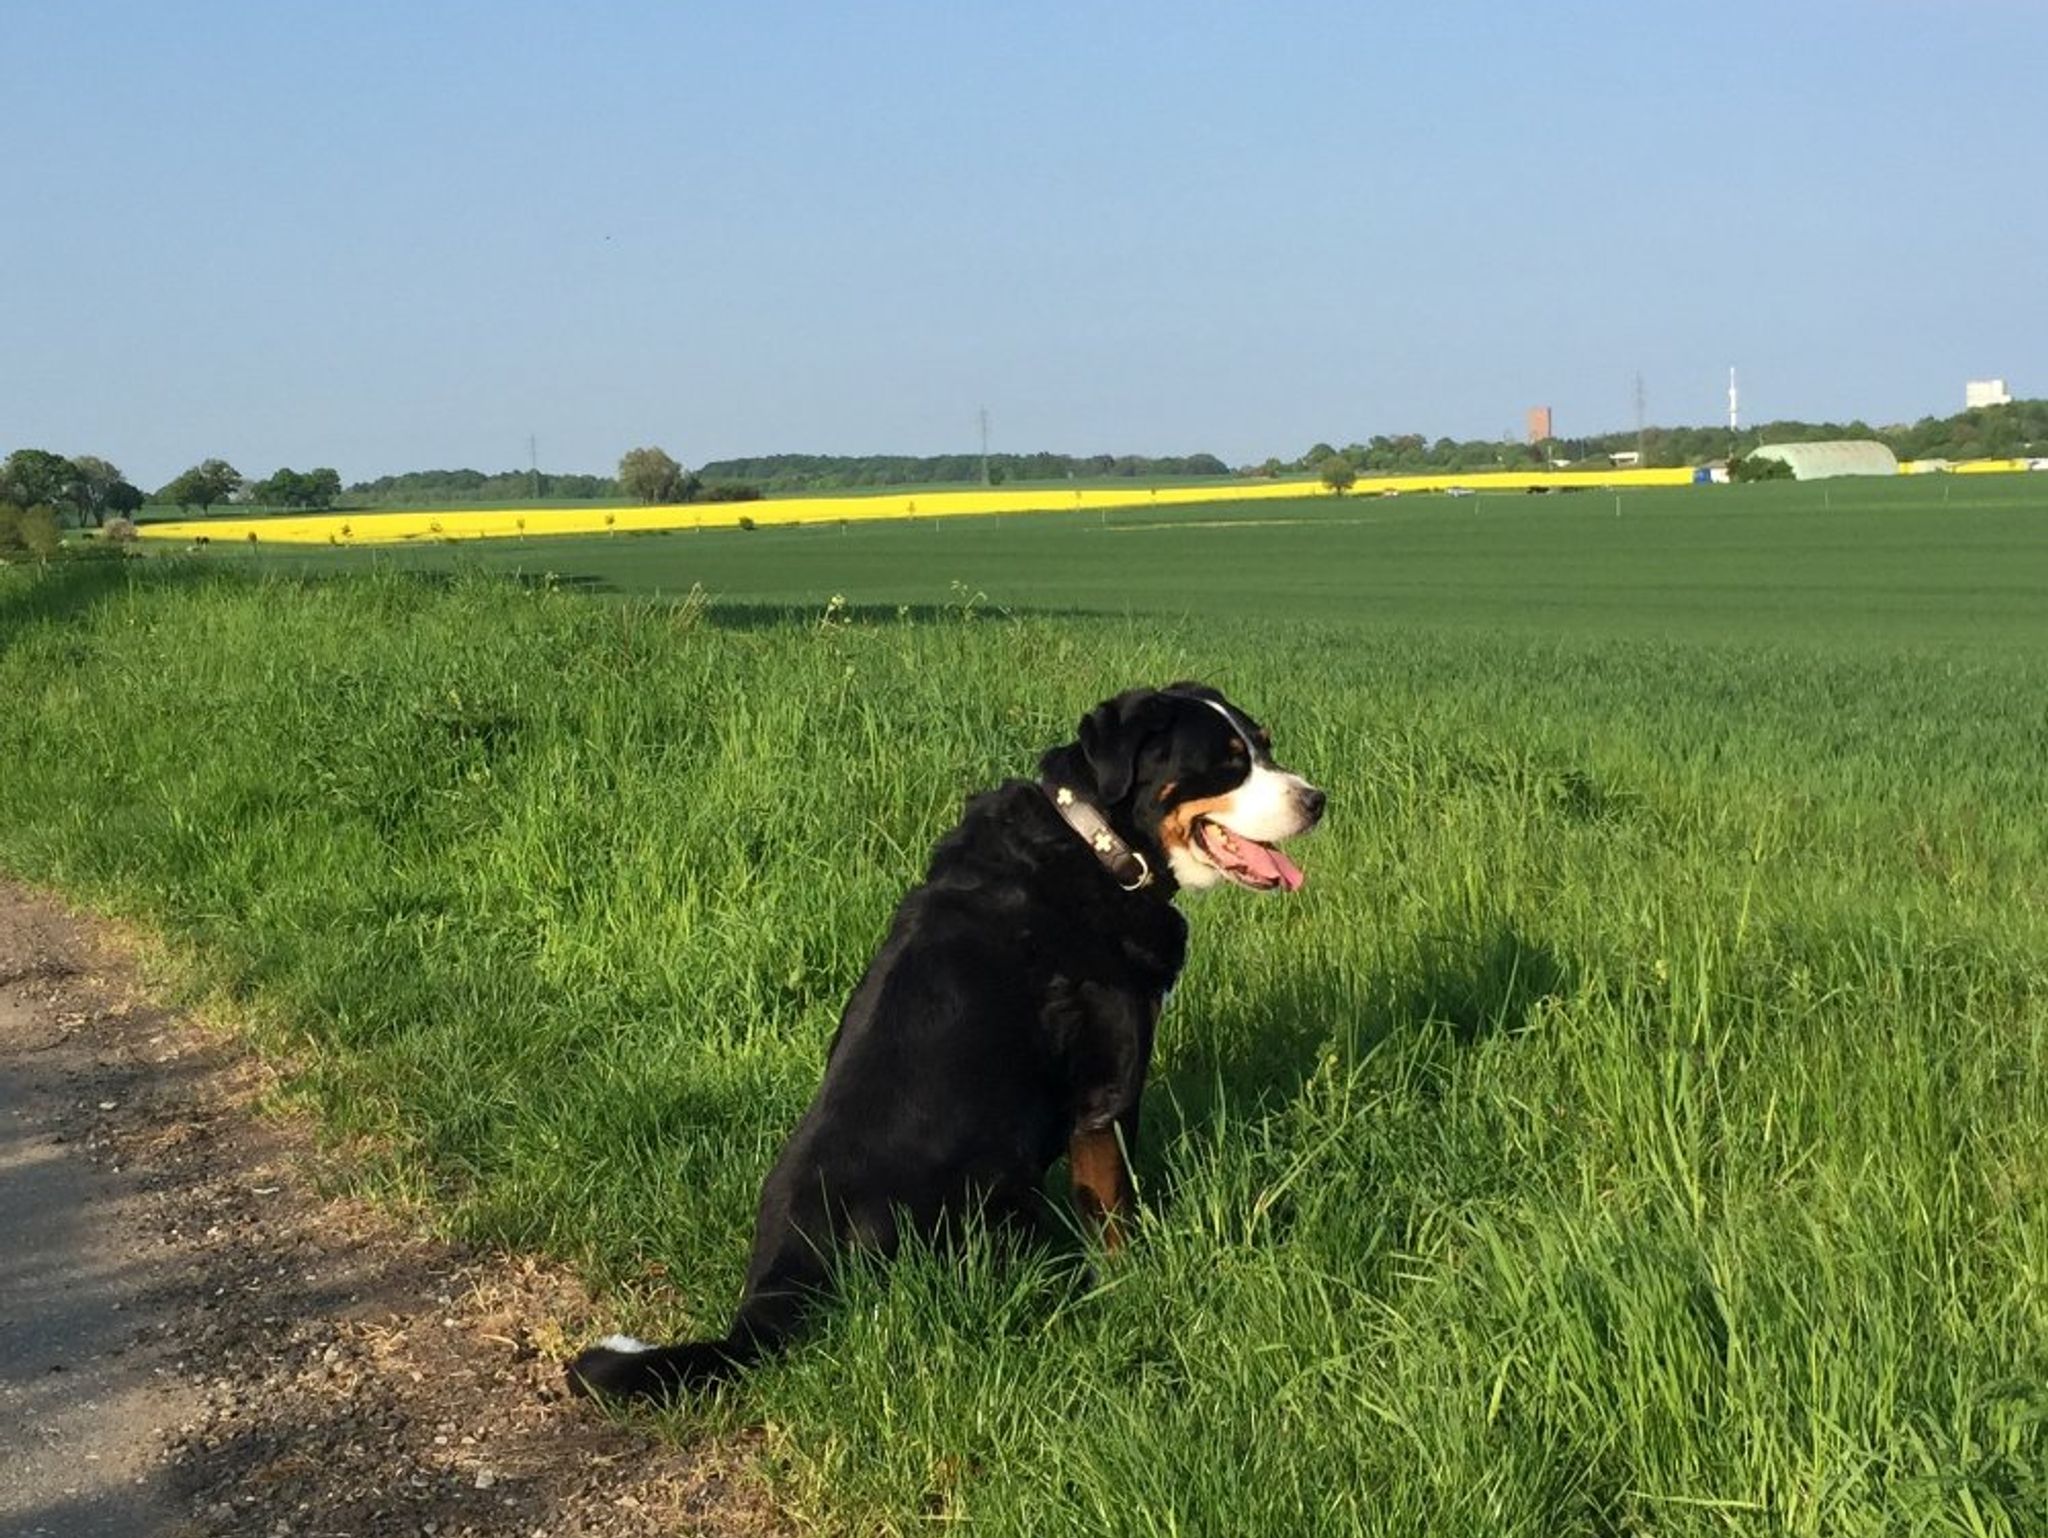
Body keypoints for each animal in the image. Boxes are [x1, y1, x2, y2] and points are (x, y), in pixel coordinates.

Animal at [569, 679, 1318, 1400]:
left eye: (1264, 744)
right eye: (1227, 762)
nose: (1319, 800)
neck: (1098, 847)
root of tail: (772, 1294)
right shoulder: (1108, 1090)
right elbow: (1113, 1214)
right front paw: (1129, 1285)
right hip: (998, 1185)